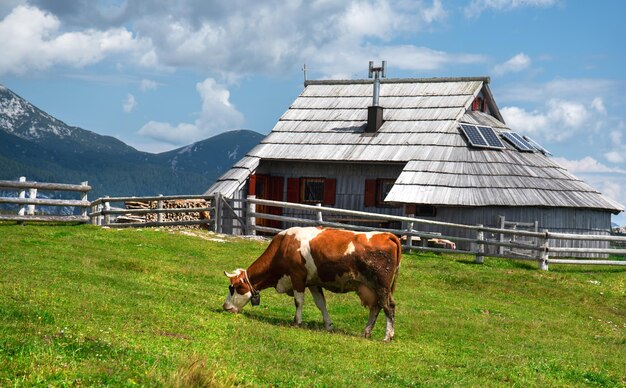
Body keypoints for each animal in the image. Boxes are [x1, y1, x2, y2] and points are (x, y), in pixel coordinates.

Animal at [222, 226, 402, 342]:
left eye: (234, 288)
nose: (225, 307)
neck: (284, 245)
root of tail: (387, 235)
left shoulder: (297, 277)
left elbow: (298, 301)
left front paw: (296, 322)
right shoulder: (313, 282)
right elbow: (321, 304)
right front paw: (328, 325)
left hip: (382, 285)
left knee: (388, 307)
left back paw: (387, 336)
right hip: (370, 288)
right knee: (376, 307)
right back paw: (366, 332)